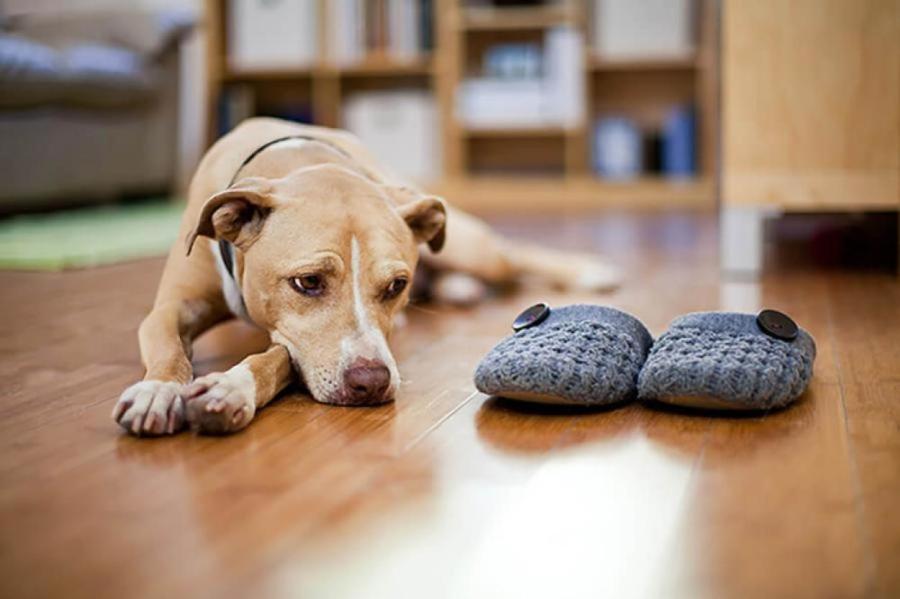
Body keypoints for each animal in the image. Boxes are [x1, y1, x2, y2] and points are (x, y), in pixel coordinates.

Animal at [112, 117, 620, 436]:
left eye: (395, 286)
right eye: (308, 283)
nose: (371, 382)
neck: (300, 160)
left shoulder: (298, 345)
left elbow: (275, 359)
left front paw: (229, 388)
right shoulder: (172, 307)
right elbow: (168, 347)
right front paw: (158, 390)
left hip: (469, 243)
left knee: (513, 255)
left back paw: (588, 269)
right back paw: (459, 287)